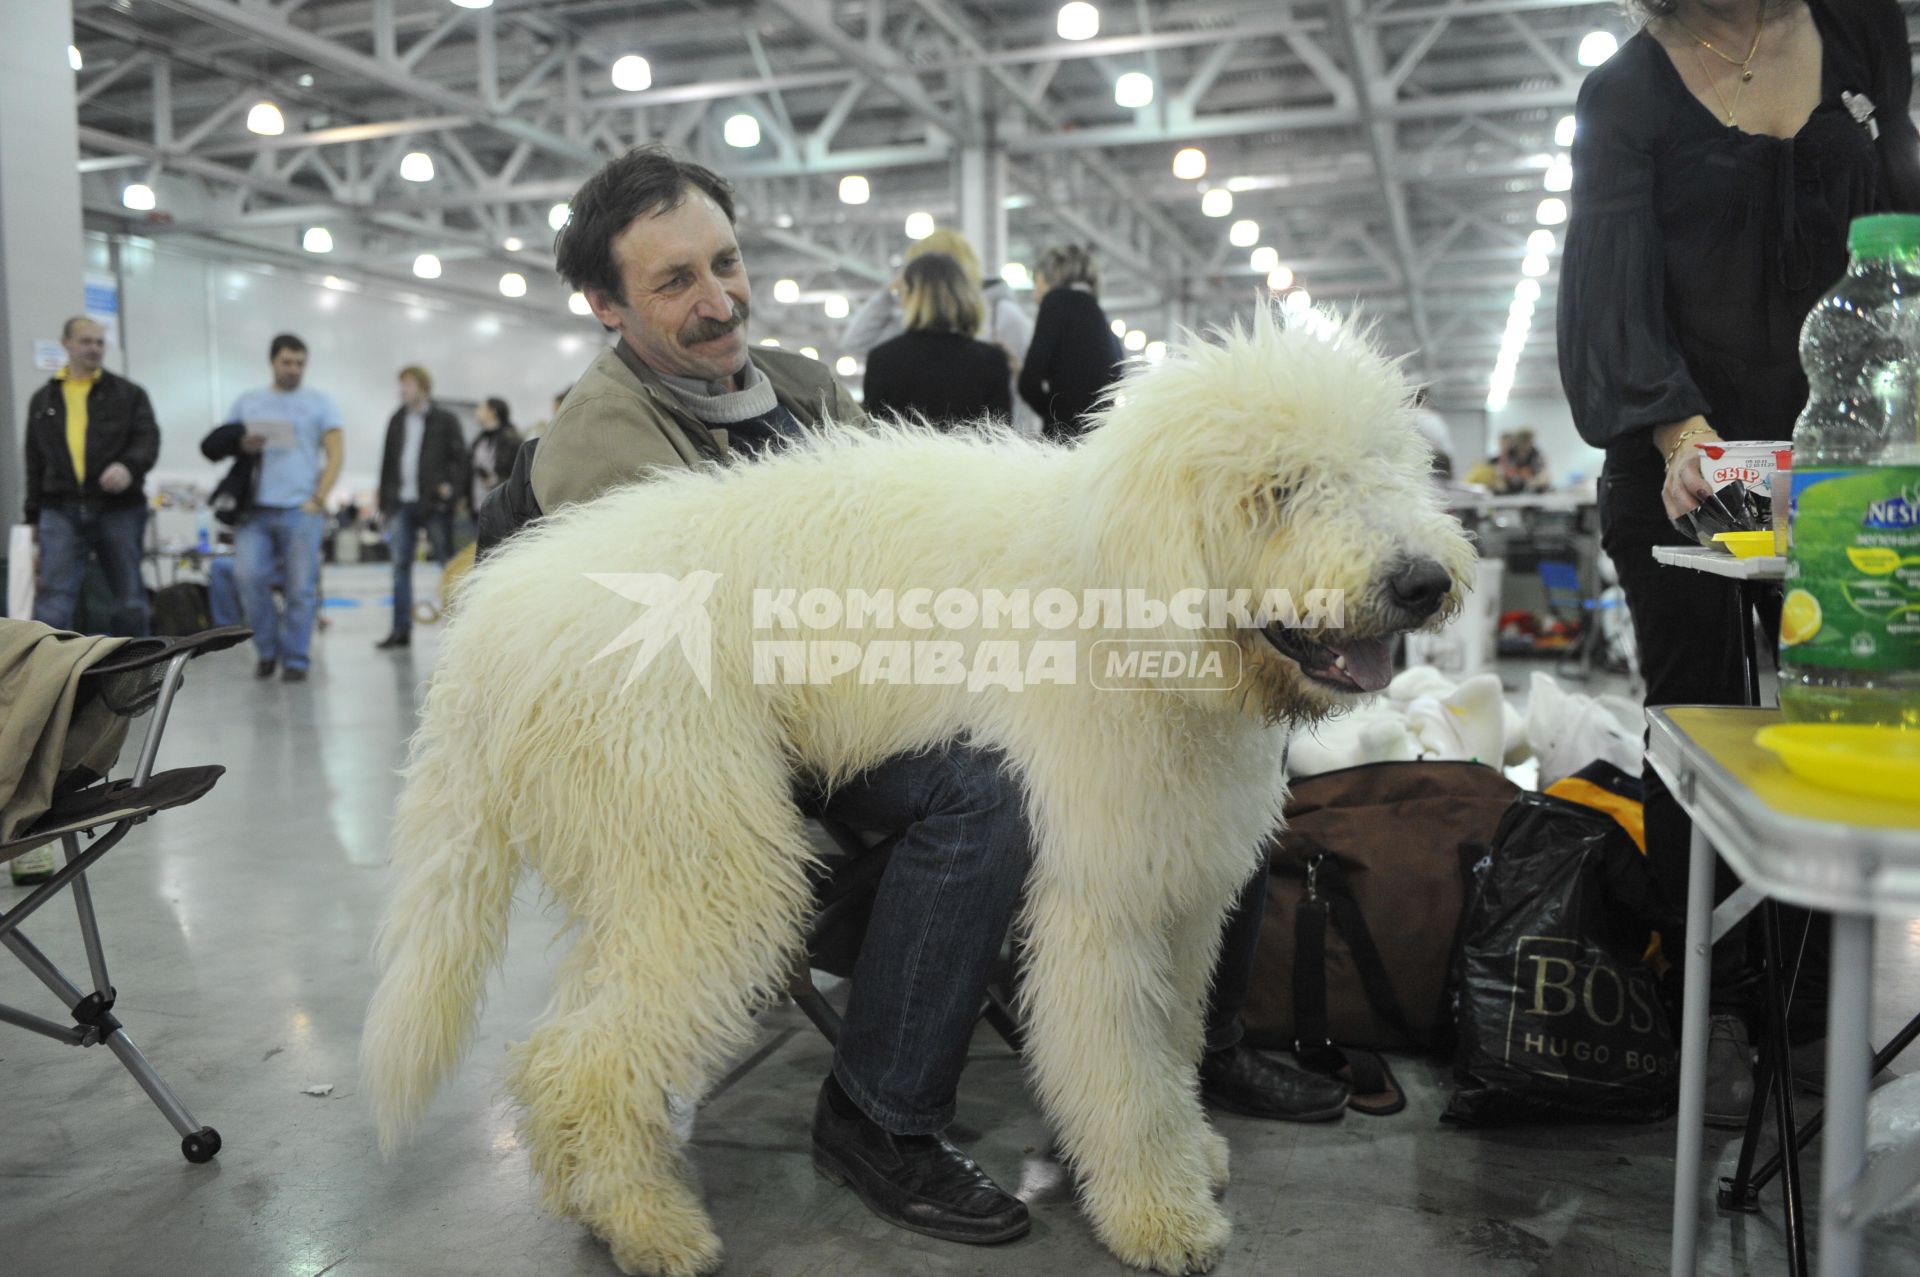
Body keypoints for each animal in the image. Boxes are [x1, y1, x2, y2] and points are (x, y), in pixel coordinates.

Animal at [357, 311, 1466, 1275]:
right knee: (588, 1056)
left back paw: (592, 1195)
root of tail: (491, 615)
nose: (1422, 581)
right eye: (1282, 487)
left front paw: (1193, 1152)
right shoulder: (1099, 894)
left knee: (557, 1050)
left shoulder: (1186, 884)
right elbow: (1122, 1069)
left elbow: (1174, 1039)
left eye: (1391, 465)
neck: (1125, 588)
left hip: (645, 859)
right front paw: (1161, 1213)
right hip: (715, 854)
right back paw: (653, 1226)